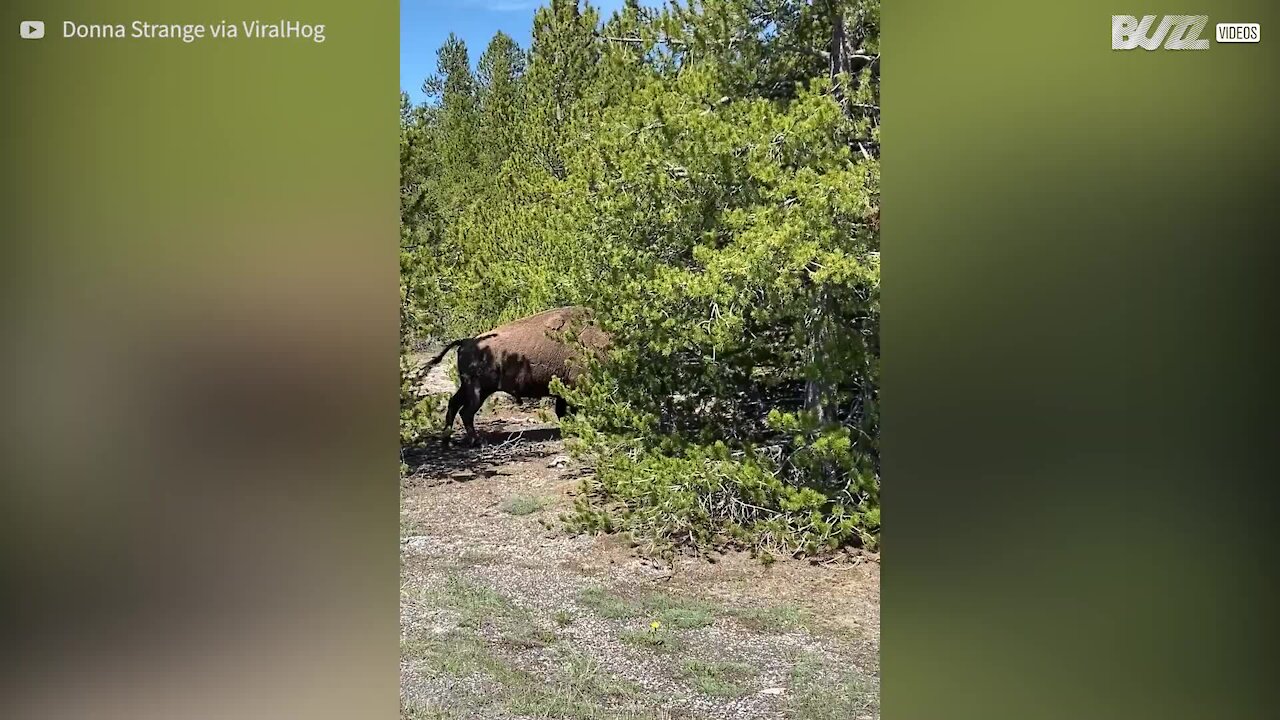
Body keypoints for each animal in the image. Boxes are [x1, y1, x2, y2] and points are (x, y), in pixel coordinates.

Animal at [424, 303, 609, 443]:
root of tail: (466, 342)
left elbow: (562, 411)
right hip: (479, 391)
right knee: (466, 412)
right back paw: (476, 441)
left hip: (468, 387)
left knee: (454, 404)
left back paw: (447, 440)